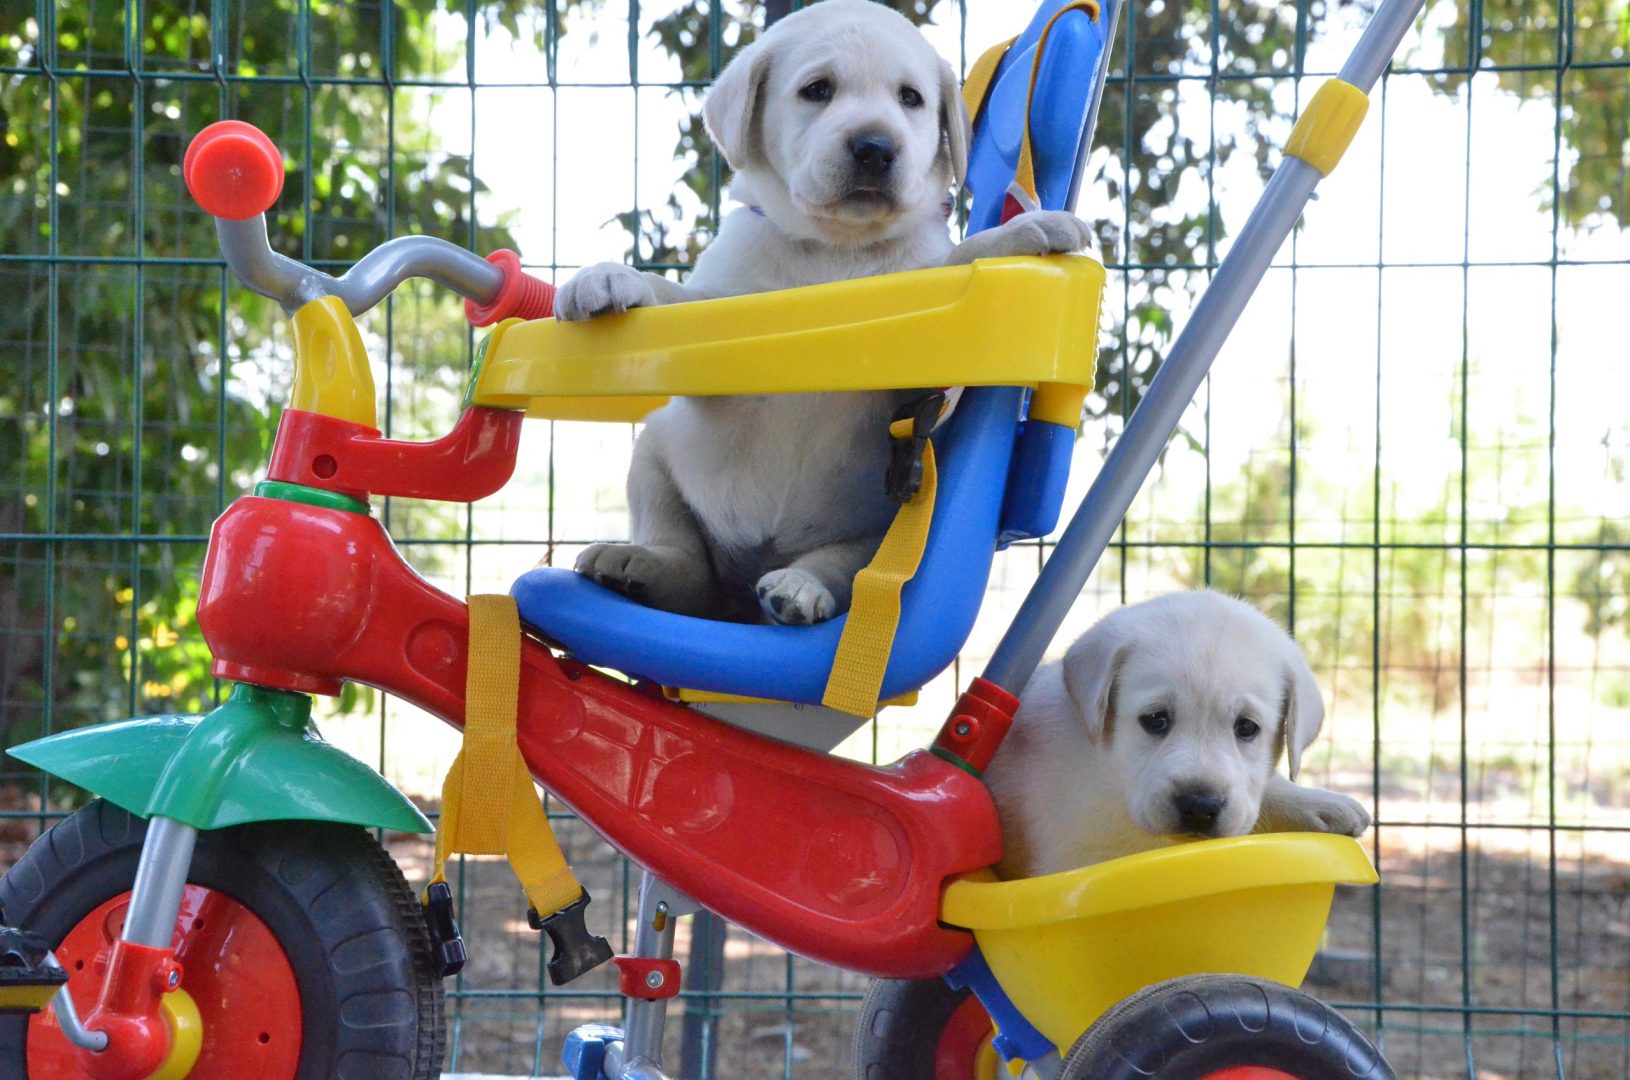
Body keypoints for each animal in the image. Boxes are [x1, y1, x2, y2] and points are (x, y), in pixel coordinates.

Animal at [557, 2, 1095, 625]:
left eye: (910, 98)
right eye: (817, 90)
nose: (875, 146)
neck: (837, 251)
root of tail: (737, 598)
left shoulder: (929, 391)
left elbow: (954, 267)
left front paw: (1022, 230)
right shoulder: (719, 332)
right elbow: (682, 302)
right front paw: (609, 277)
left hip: (880, 526)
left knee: (840, 569)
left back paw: (798, 586)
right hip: (654, 458)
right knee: (685, 565)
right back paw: (637, 563)